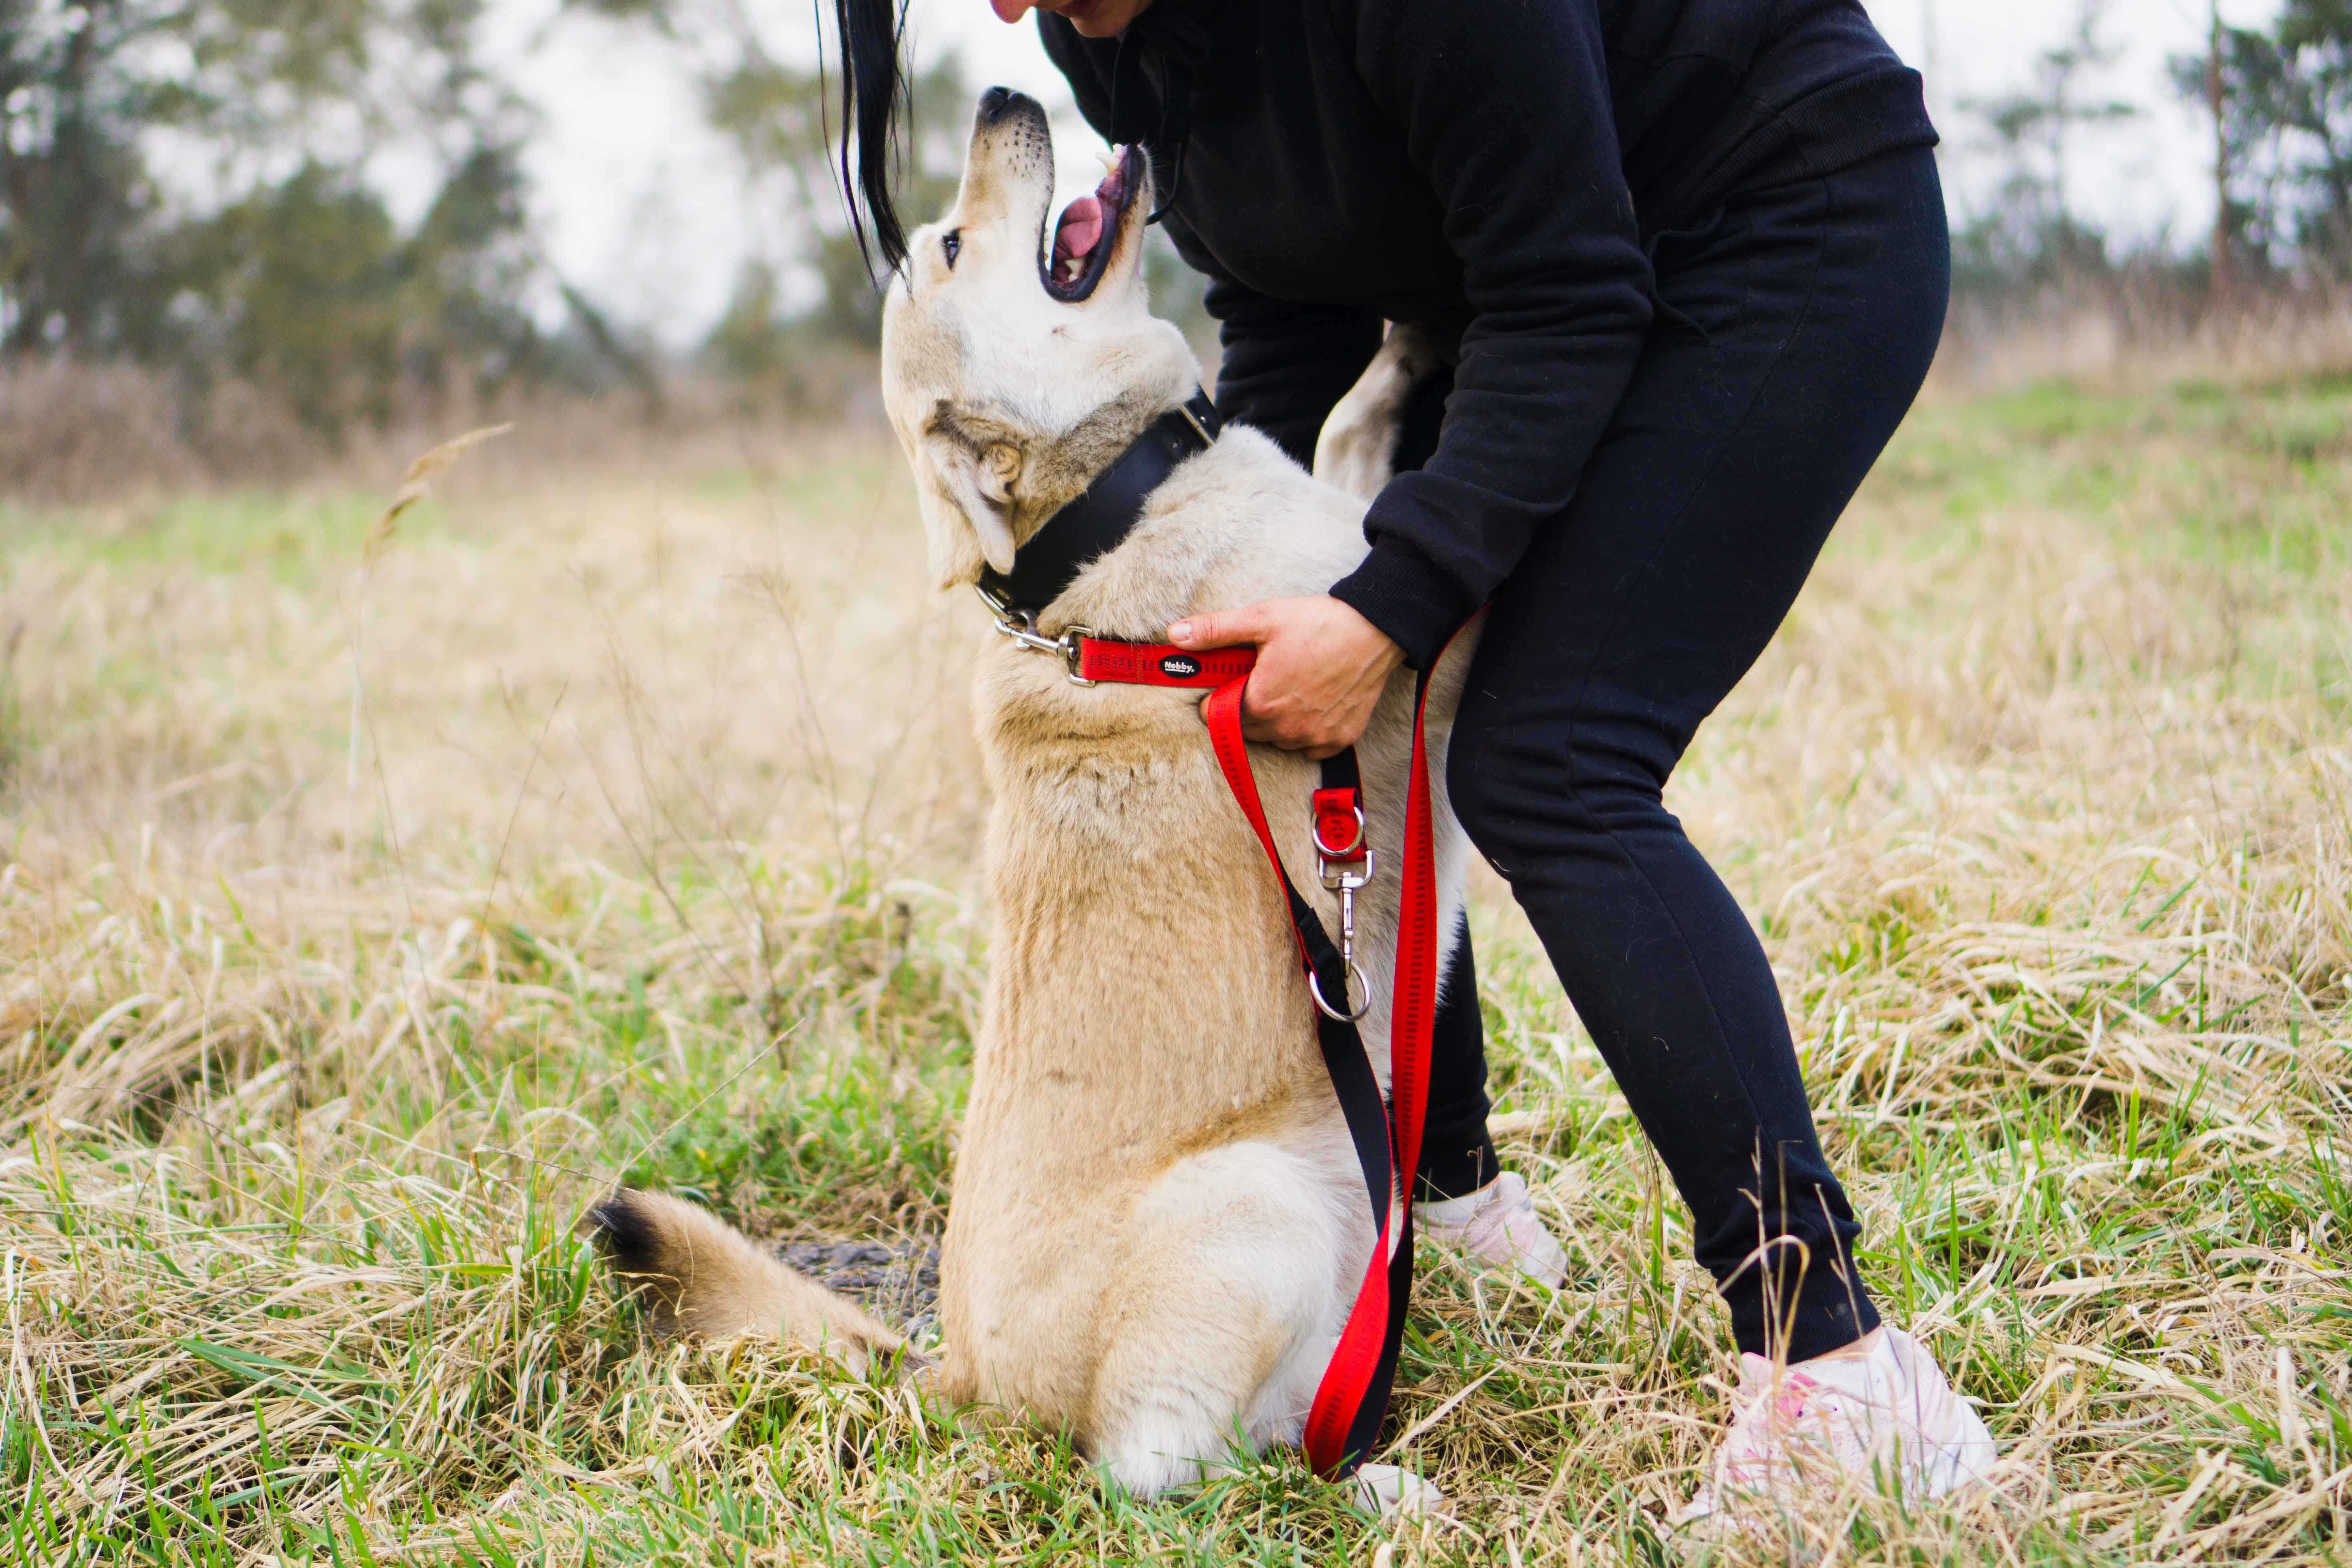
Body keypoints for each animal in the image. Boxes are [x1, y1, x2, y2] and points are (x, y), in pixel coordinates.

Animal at [593, 88, 1467, 1504]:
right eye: (954, 243)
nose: (1003, 99)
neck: (1110, 507)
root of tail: (956, 1381)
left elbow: (1350, 429)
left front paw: (1407, 344)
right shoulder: (1396, 641)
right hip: (1256, 1208)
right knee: (1172, 1467)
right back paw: (1368, 1489)